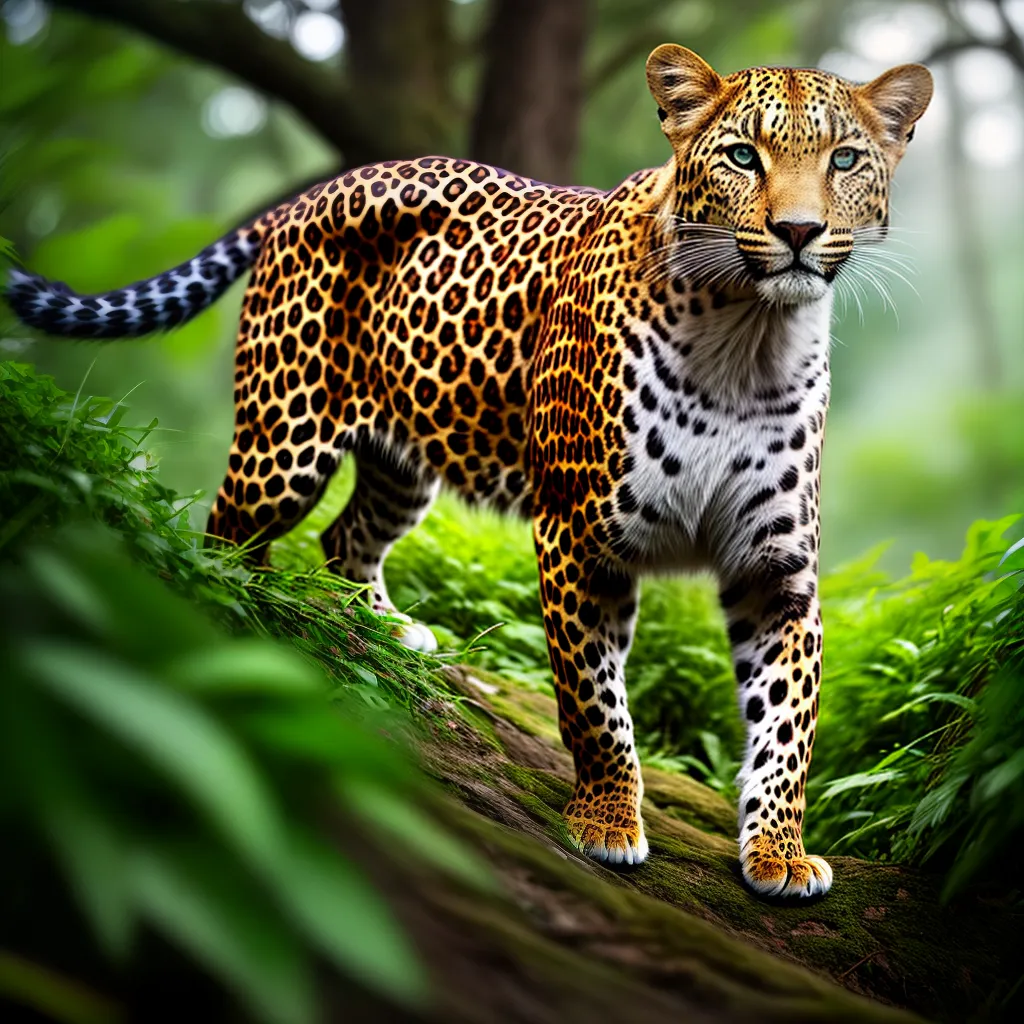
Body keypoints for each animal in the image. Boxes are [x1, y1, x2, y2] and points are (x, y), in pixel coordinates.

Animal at [6, 45, 932, 898]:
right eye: (743, 155)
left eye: (844, 160)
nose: (798, 233)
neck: (748, 335)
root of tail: (308, 195)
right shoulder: (580, 537)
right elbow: (595, 703)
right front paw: (606, 820)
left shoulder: (775, 566)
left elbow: (789, 723)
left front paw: (778, 850)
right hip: (285, 438)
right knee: (225, 540)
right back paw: (243, 627)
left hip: (400, 457)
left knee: (344, 540)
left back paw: (383, 630)